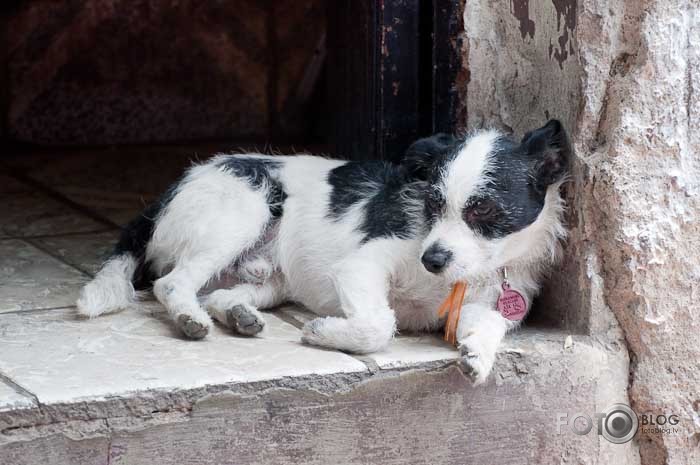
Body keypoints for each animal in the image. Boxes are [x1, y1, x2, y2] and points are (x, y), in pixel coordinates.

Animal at [76, 118, 568, 382]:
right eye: (432, 203)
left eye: (483, 208)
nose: (432, 261)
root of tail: (174, 189)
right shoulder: (362, 265)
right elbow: (380, 324)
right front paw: (325, 333)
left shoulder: (483, 304)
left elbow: (490, 324)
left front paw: (478, 355)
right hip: (241, 211)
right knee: (172, 283)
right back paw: (189, 320)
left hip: (269, 278)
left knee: (218, 293)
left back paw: (237, 314)